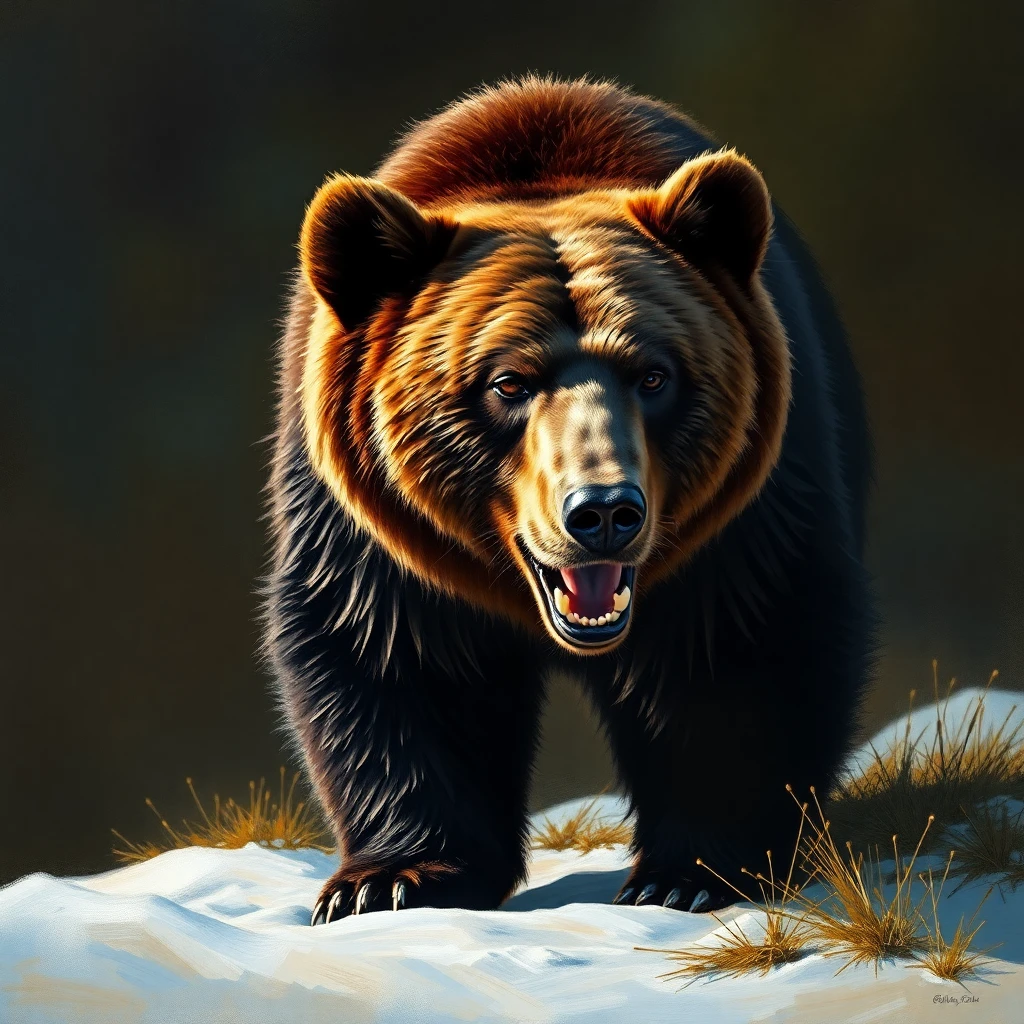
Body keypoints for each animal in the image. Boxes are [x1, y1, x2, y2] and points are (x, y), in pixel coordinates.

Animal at [264, 76, 876, 923]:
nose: (604, 513)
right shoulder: (372, 542)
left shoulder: (747, 523)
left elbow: (743, 651)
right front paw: (391, 878)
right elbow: (397, 662)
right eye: (506, 382)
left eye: (654, 374)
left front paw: (691, 871)